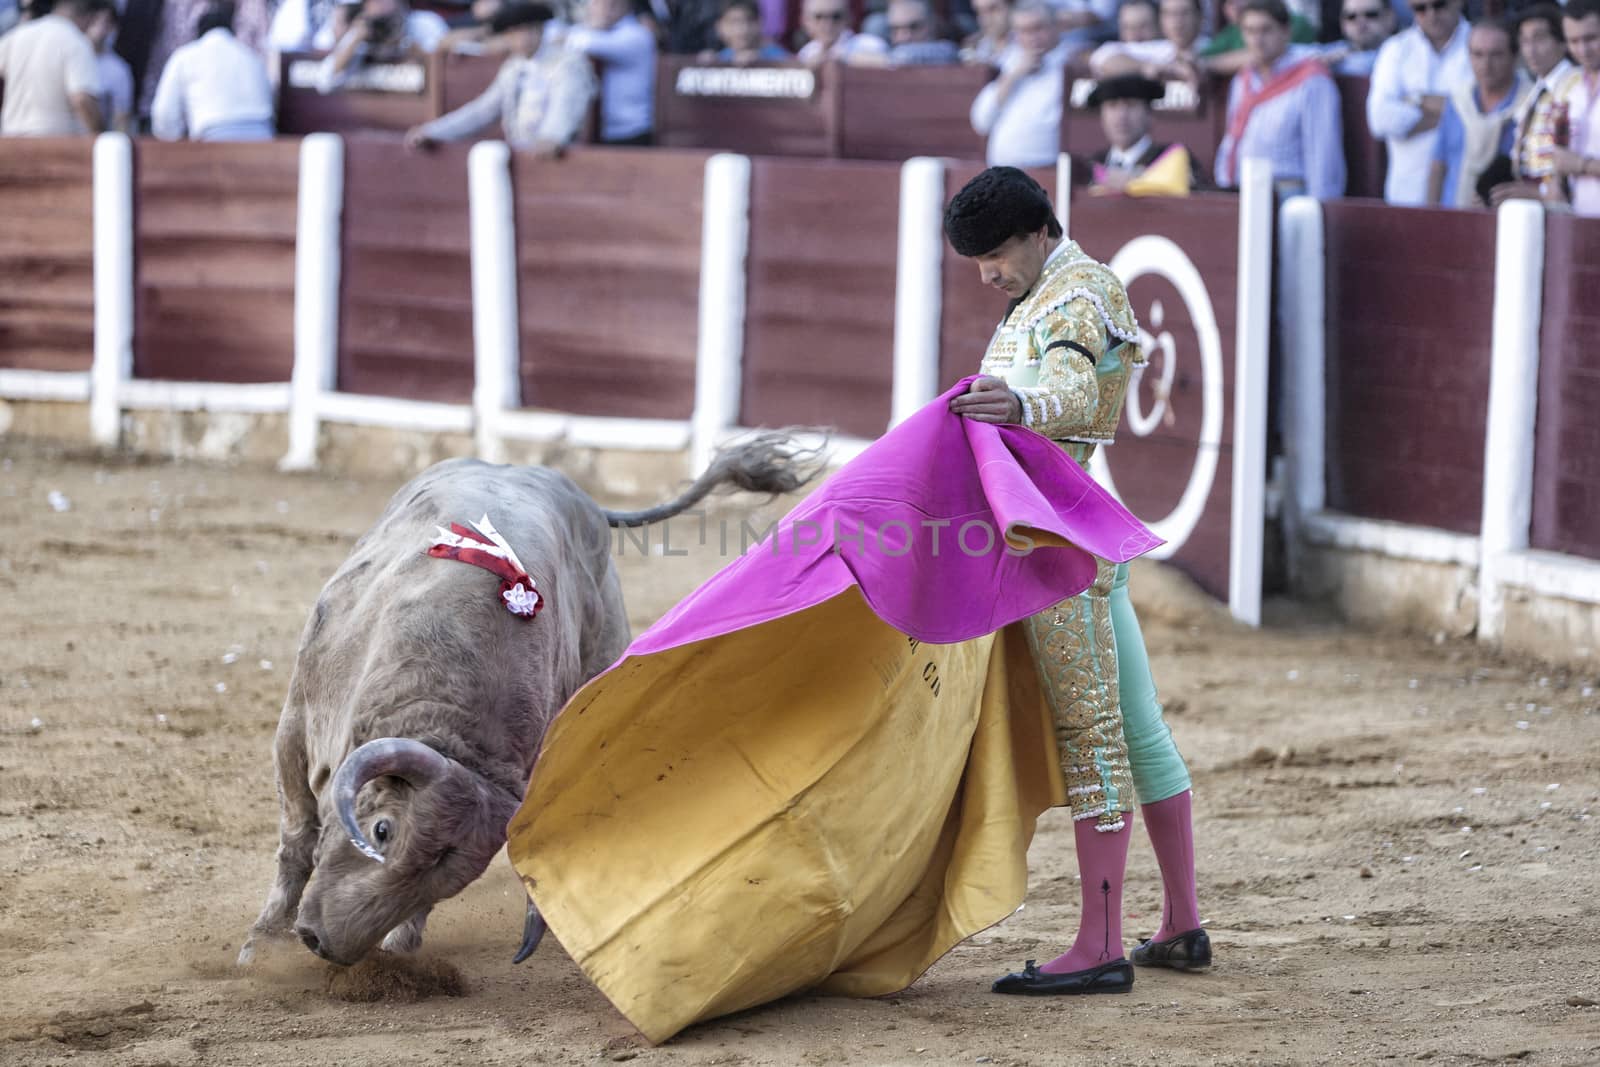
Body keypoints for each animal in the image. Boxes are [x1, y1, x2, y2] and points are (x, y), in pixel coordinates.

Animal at [236, 438, 825, 972]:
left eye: (448, 884)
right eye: (382, 831)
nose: (323, 944)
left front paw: (401, 943)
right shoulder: (295, 726)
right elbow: (297, 837)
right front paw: (263, 943)